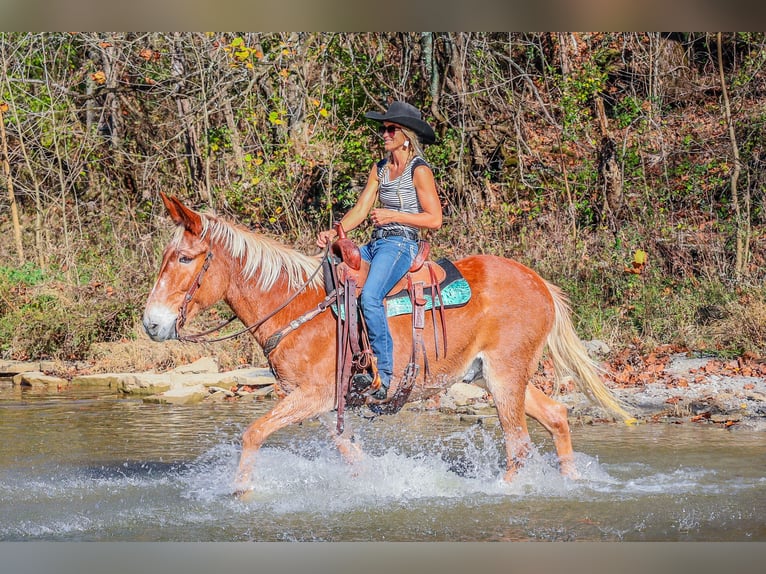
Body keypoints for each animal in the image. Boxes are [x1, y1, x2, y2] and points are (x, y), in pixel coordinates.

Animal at [141, 194, 632, 496]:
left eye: (185, 258)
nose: (151, 323)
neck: (294, 306)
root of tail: (540, 283)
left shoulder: (315, 395)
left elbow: (254, 433)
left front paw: (241, 492)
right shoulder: (324, 405)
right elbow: (350, 454)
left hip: (505, 375)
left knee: (520, 443)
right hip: (495, 376)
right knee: (557, 417)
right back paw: (570, 482)